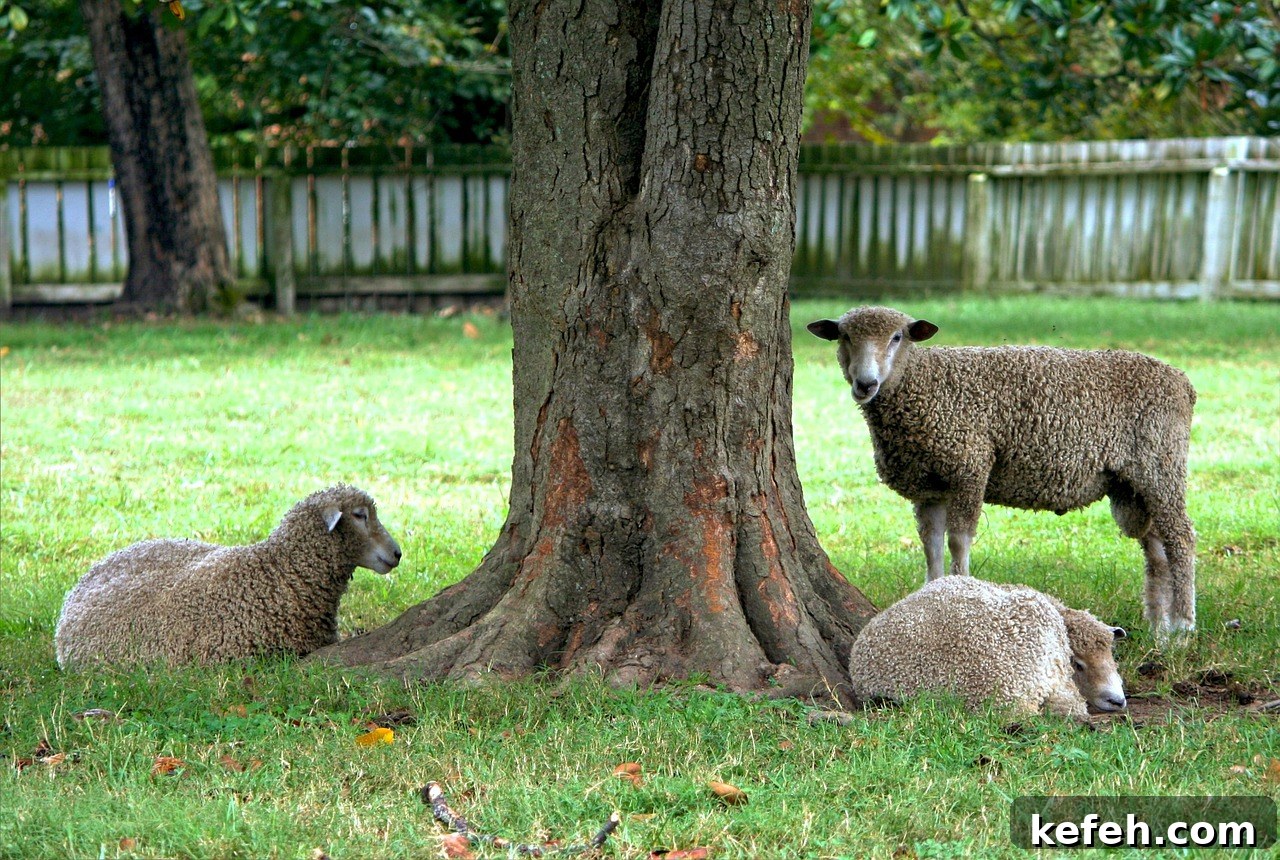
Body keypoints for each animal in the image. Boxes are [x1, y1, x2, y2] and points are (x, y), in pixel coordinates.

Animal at [807, 306, 1197, 640]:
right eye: (844, 336)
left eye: (897, 337)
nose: (865, 384)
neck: (924, 383)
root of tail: (1183, 382)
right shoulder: (930, 487)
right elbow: (931, 546)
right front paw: (928, 596)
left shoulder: (969, 466)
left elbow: (958, 540)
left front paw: (959, 594)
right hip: (1132, 486)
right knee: (1156, 550)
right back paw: (1159, 629)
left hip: (1161, 464)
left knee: (1181, 538)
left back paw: (1183, 627)